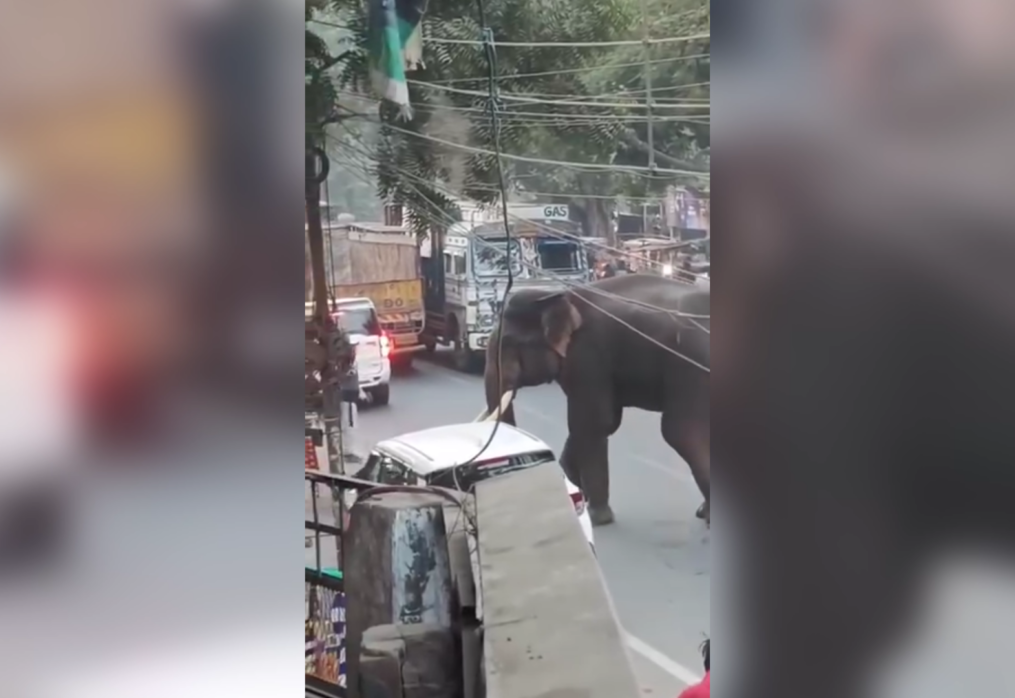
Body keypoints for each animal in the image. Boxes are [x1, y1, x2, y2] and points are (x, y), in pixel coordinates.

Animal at [481, 271, 706, 523]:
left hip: (689, 363)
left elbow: (593, 422)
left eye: (508, 344)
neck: (556, 295)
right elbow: (605, 422)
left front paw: (599, 516)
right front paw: (573, 486)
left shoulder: (586, 354)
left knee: (681, 432)